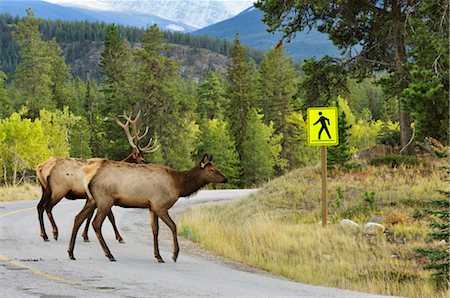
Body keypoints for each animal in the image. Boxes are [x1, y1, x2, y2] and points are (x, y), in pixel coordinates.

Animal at [36, 111, 158, 242]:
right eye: (142, 159)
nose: (150, 166)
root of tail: (42, 167)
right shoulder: (104, 195)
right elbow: (110, 217)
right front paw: (119, 237)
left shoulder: (92, 197)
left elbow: (89, 216)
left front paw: (85, 235)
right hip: (59, 189)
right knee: (48, 207)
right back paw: (54, 232)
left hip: (45, 189)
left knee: (39, 206)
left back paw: (44, 235)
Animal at [67, 155, 227, 262]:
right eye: (212, 169)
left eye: (217, 168)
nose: (226, 179)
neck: (178, 186)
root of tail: (89, 175)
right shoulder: (160, 205)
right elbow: (173, 226)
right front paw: (174, 255)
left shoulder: (152, 207)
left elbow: (155, 230)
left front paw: (158, 256)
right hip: (104, 200)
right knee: (96, 223)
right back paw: (109, 255)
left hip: (92, 200)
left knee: (78, 218)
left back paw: (71, 253)